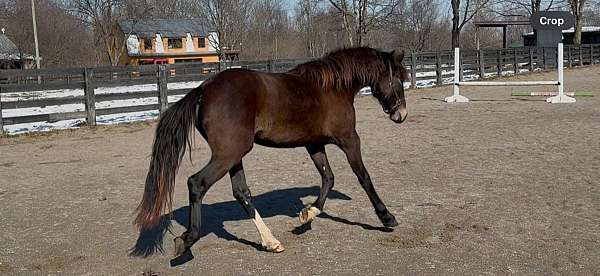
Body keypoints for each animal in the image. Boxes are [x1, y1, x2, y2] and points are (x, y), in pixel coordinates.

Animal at [134, 47, 410, 256]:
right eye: (399, 79)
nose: (401, 114)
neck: (332, 88)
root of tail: (204, 89)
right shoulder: (349, 140)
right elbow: (363, 177)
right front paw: (387, 218)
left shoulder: (314, 144)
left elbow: (328, 178)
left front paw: (308, 214)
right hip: (228, 154)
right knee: (196, 183)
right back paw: (187, 240)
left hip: (234, 155)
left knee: (241, 192)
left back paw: (270, 241)